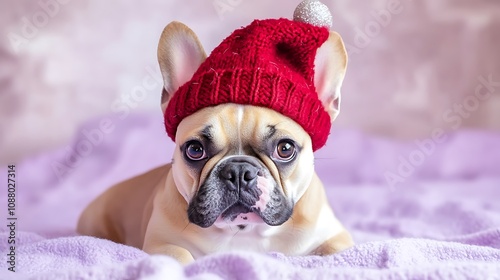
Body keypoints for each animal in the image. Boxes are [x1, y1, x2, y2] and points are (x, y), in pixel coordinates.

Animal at [77, 18, 352, 264]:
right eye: (195, 150)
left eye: (285, 149)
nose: (239, 171)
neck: (244, 232)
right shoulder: (161, 244)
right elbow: (179, 256)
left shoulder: (335, 237)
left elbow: (338, 253)